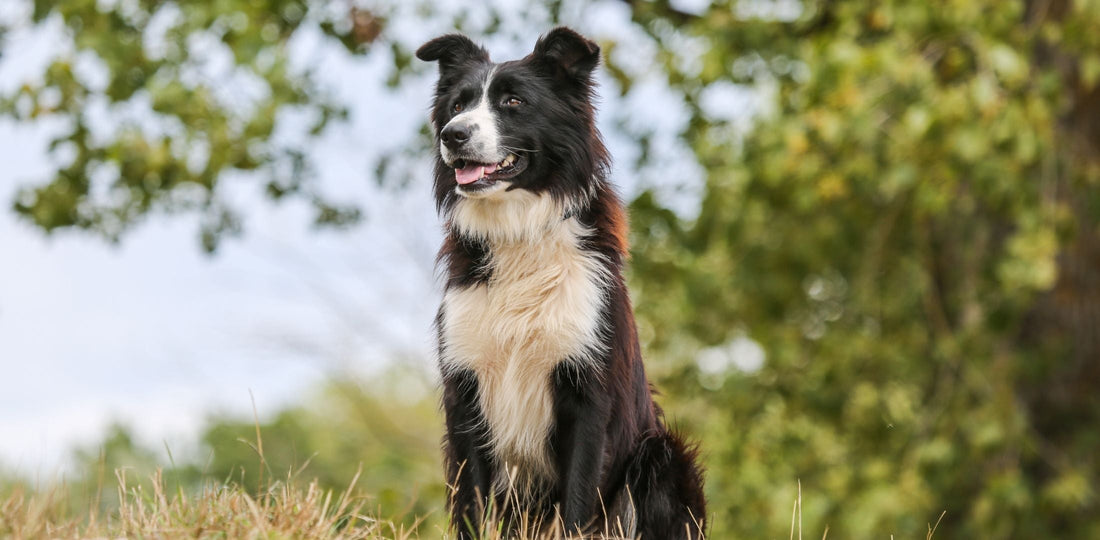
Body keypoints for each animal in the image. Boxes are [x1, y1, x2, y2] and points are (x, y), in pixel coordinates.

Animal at [415, 27, 708, 538]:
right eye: (457, 105)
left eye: (513, 101)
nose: (453, 135)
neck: (519, 232)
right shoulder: (466, 391)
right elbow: (472, 503)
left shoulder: (587, 395)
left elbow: (576, 502)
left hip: (663, 456)